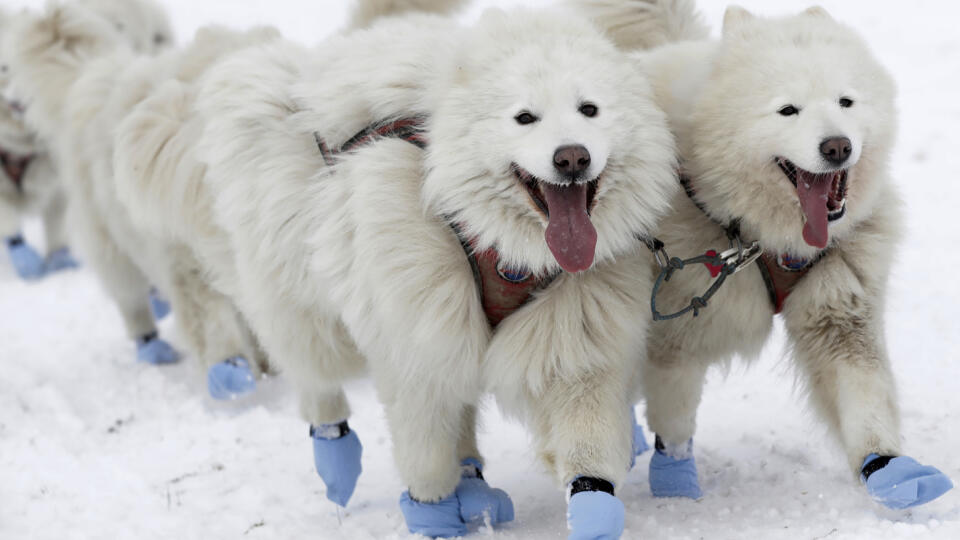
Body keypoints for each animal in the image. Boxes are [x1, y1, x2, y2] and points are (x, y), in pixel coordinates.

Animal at [114, 3, 676, 536]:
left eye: (589, 109)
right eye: (524, 117)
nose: (572, 158)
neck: (503, 245)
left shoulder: (575, 340)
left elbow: (588, 452)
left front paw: (594, 515)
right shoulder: (414, 343)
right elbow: (424, 452)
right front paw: (432, 517)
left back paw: (474, 487)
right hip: (310, 309)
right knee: (317, 385)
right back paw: (339, 463)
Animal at [572, 0, 956, 510]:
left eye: (846, 102)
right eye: (787, 110)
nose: (838, 147)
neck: (763, 237)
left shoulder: (839, 308)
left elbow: (864, 395)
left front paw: (890, 470)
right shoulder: (676, 335)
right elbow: (675, 416)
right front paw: (676, 485)